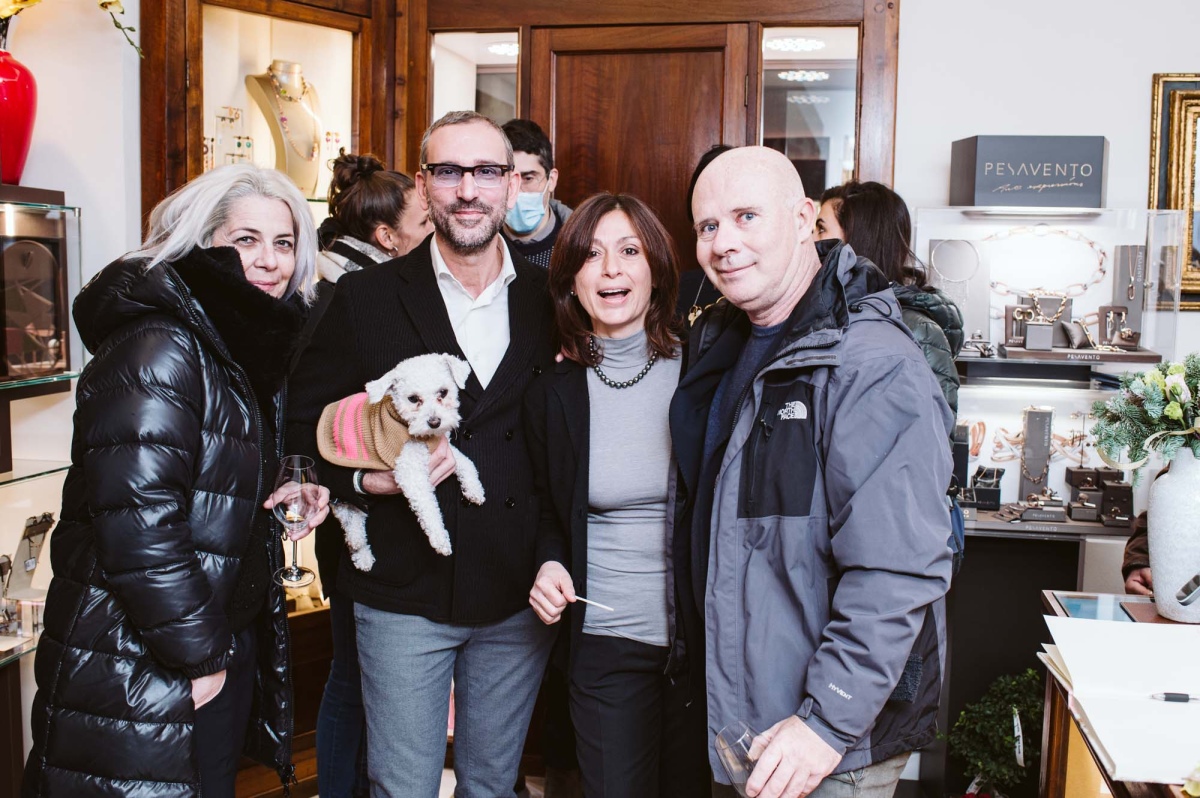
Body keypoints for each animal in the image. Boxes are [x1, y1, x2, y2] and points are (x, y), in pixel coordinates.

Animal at [318, 353, 485, 570]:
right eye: (413, 399)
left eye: (443, 392)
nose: (434, 422)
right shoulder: (410, 472)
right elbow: (428, 507)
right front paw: (440, 538)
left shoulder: (443, 447)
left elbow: (466, 463)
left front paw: (474, 489)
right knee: (349, 519)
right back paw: (359, 548)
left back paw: (361, 552)